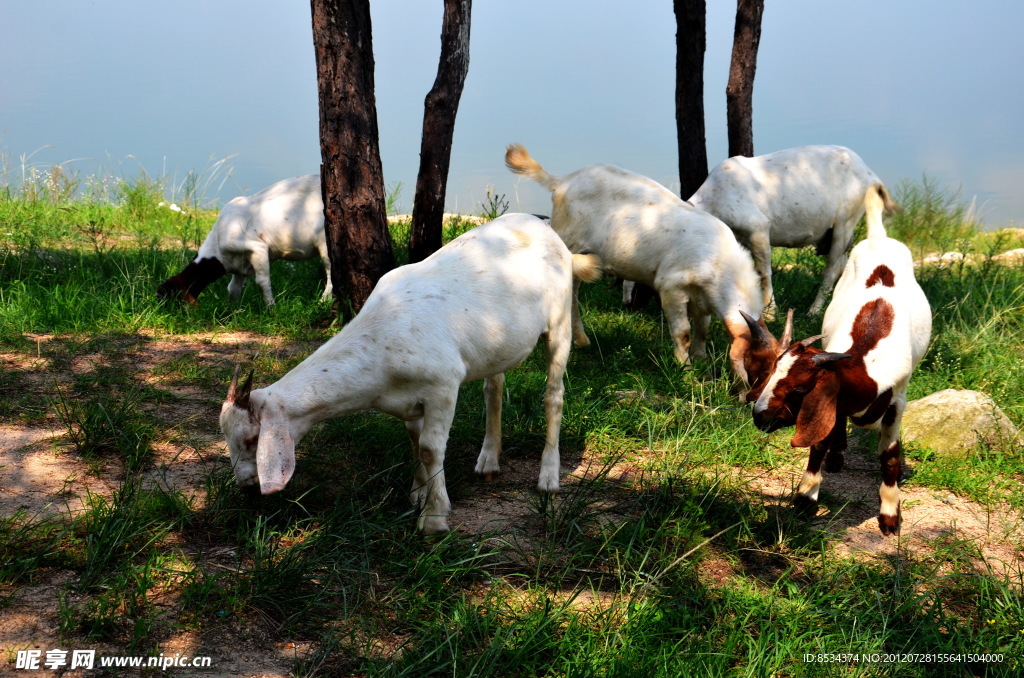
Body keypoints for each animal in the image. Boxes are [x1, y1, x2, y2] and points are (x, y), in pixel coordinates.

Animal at [157, 174, 329, 307]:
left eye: (170, 296)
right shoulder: (239, 264)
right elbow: (233, 288)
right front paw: (231, 310)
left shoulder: (258, 248)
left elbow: (262, 282)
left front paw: (270, 307)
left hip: (324, 243)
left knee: (330, 271)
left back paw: (323, 301)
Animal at [216, 215, 598, 532]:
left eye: (251, 439)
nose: (247, 486)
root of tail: (547, 230)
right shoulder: (408, 401)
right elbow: (415, 441)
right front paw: (417, 495)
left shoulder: (443, 385)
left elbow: (430, 447)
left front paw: (434, 517)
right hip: (498, 346)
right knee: (494, 389)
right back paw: (489, 461)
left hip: (560, 320)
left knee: (554, 395)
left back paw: (548, 477)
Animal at [688, 144, 897, 319]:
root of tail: (871, 175)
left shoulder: (758, 228)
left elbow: (764, 272)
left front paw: (770, 313)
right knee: (843, 265)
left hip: (845, 221)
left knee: (831, 270)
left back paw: (814, 311)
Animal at [749, 218, 933, 536]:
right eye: (771, 375)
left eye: (799, 390)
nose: (759, 416)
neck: (868, 361)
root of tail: (878, 237)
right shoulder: (832, 399)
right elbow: (820, 441)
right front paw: (806, 498)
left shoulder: (897, 399)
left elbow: (890, 455)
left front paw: (889, 515)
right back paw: (836, 457)